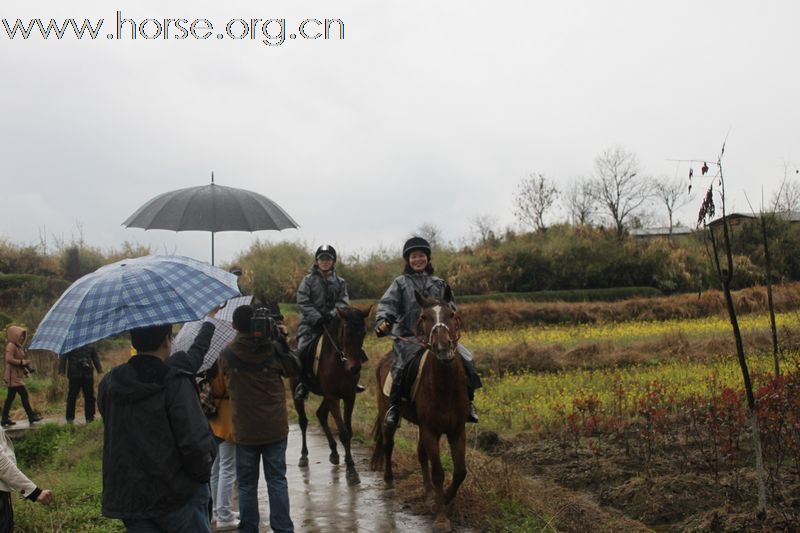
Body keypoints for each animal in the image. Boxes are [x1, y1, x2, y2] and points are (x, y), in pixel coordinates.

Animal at [290, 306, 372, 484]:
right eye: (347, 333)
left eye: (363, 333)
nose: (355, 368)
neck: (339, 362)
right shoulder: (333, 396)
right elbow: (344, 433)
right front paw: (351, 470)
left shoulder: (348, 396)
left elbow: (348, 430)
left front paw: (350, 465)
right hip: (300, 394)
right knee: (303, 422)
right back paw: (304, 456)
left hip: (327, 396)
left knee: (320, 414)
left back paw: (334, 453)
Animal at [368, 288, 468, 528]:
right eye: (424, 317)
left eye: (451, 314)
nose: (443, 348)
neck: (444, 387)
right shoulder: (431, 430)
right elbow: (439, 472)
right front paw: (441, 517)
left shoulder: (456, 430)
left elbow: (460, 471)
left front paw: (446, 498)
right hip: (387, 414)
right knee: (388, 445)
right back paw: (389, 481)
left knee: (421, 455)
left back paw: (429, 493)